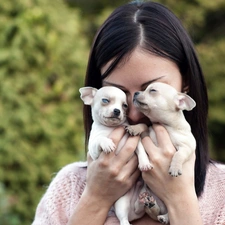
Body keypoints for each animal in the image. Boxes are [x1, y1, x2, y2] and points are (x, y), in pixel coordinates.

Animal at [79, 86, 151, 225]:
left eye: (125, 105)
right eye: (105, 100)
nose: (117, 111)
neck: (110, 128)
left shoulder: (134, 140)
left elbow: (141, 150)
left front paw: (144, 163)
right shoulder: (94, 149)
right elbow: (100, 139)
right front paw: (107, 143)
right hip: (121, 202)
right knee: (124, 219)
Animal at [127, 81, 196, 223]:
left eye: (152, 90)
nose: (136, 93)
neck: (165, 124)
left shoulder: (187, 147)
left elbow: (178, 154)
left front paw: (175, 167)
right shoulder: (145, 134)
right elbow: (143, 128)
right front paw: (135, 128)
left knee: (166, 214)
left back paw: (163, 216)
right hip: (143, 195)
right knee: (145, 209)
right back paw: (150, 205)